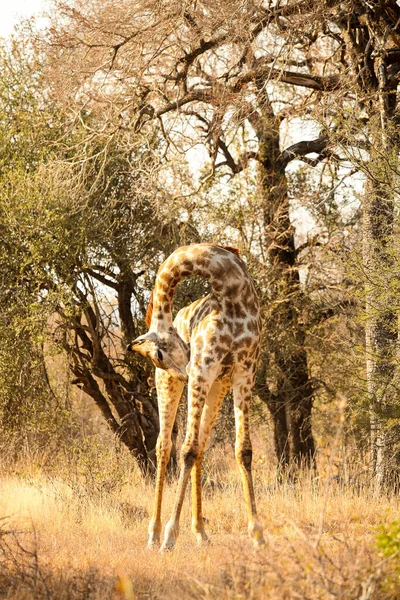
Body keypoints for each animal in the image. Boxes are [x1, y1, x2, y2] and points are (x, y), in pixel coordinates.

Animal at [126, 243, 264, 548]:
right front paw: (169, 536)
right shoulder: (204, 366)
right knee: (164, 446)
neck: (230, 289)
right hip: (172, 385)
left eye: (158, 353)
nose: (184, 373)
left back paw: (201, 532)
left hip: (216, 386)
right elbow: (186, 450)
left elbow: (243, 449)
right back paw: (154, 534)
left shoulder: (244, 372)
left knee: (200, 445)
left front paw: (258, 533)